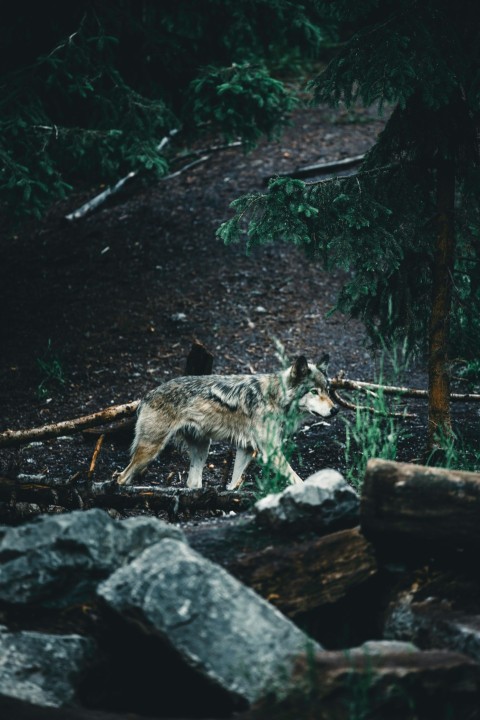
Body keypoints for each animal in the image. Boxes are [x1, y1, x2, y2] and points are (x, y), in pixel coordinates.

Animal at [115, 354, 338, 490]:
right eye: (314, 391)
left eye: (327, 390)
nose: (335, 409)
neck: (275, 397)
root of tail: (146, 396)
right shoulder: (270, 452)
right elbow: (296, 478)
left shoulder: (246, 449)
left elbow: (234, 482)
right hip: (151, 450)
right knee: (121, 477)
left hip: (202, 449)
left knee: (192, 483)